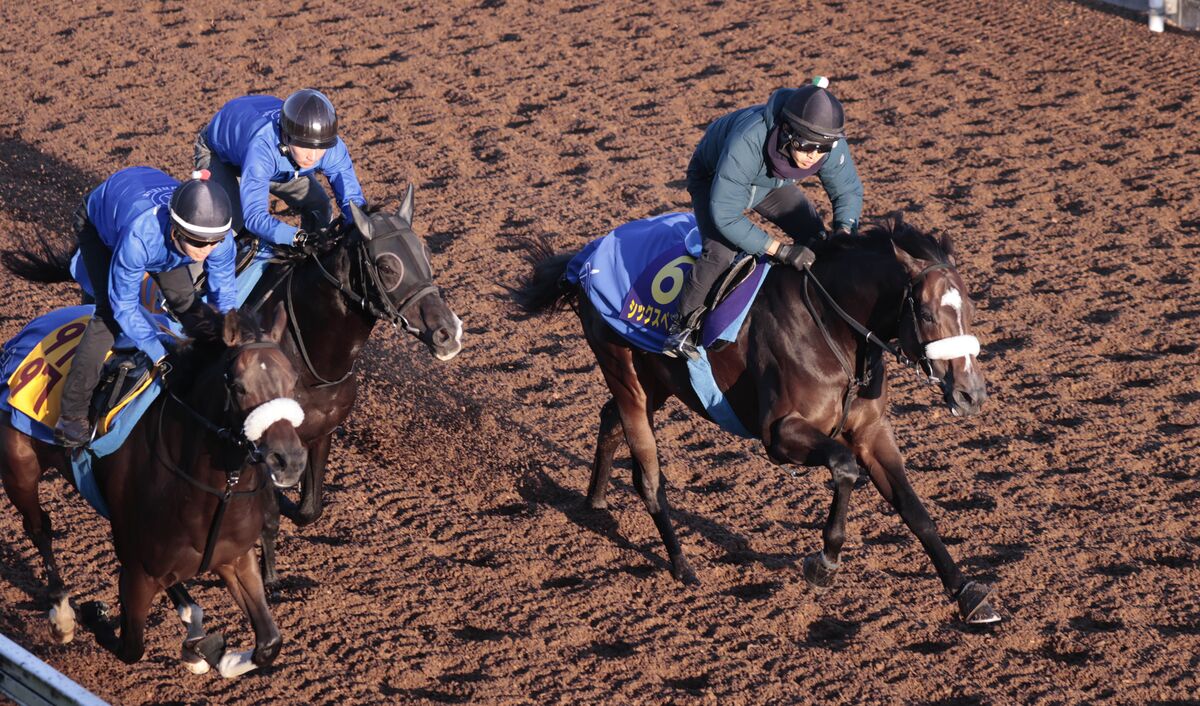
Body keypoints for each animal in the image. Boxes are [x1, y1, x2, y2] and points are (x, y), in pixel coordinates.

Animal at [1, 306, 309, 677]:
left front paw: (214, 653)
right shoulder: (136, 574)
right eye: (237, 386)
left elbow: (269, 644)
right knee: (39, 528)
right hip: (20, 468)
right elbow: (130, 647)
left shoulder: (236, 558)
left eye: (294, 381)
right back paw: (62, 616)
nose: (289, 460)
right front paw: (94, 612)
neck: (213, 493)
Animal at [244, 184, 463, 581]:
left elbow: (308, 509)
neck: (309, 364)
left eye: (426, 253)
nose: (448, 332)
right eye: (387, 266)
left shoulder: (323, 431)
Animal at [516, 214, 1003, 624]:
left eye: (971, 309)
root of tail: (583, 260)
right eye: (926, 314)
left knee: (609, 417)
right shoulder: (779, 434)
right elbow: (845, 469)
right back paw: (681, 565)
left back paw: (596, 502)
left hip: (656, 382)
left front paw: (966, 592)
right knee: (648, 478)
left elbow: (913, 509)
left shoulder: (870, 432)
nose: (971, 394)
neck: (831, 327)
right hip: (627, 377)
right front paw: (824, 563)